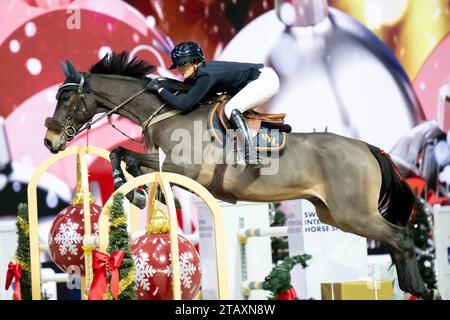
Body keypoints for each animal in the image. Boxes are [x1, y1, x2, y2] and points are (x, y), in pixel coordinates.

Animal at [44, 51, 442, 298]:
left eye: (65, 99)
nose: (50, 141)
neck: (166, 111)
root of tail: (369, 149)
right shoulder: (164, 163)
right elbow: (124, 156)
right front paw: (137, 193)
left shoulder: (184, 169)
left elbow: (125, 156)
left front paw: (133, 192)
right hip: (336, 214)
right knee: (396, 241)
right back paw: (416, 287)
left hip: (353, 213)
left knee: (401, 237)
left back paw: (422, 288)